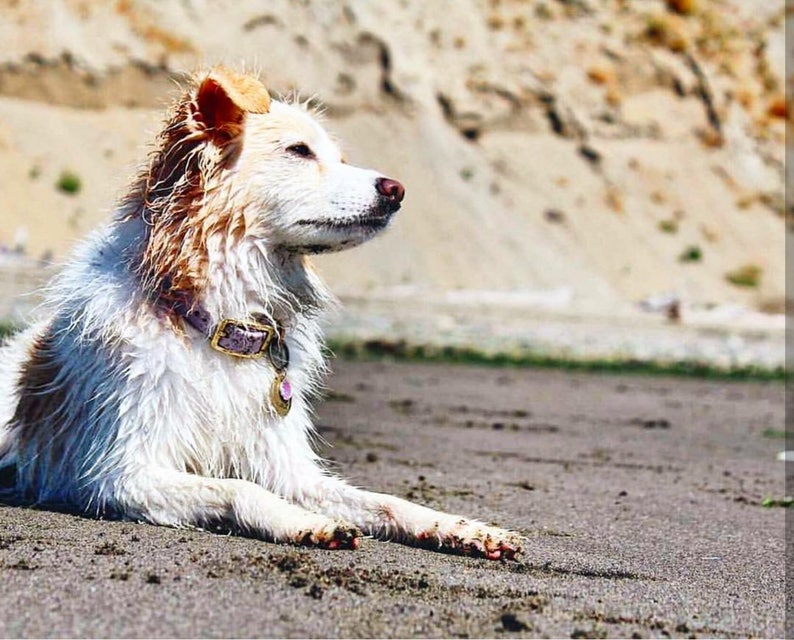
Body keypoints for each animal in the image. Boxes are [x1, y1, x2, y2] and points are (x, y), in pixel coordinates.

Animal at [0, 67, 524, 560]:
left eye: (339, 157)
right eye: (299, 150)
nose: (396, 189)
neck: (216, 324)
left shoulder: (287, 468)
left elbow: (386, 502)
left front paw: (464, 528)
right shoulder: (118, 473)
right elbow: (239, 488)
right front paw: (305, 523)